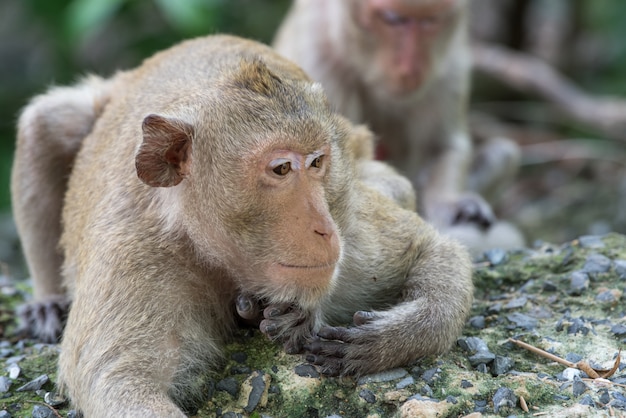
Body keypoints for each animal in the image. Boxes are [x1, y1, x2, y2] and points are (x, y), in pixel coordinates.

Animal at [12, 33, 470, 414]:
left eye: (317, 162)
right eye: (281, 169)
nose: (324, 230)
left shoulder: (352, 230)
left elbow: (435, 249)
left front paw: (381, 339)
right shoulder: (136, 260)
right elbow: (119, 380)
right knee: (45, 123)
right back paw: (48, 302)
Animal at [272, 0, 520, 255]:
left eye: (430, 21)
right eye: (393, 19)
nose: (411, 69)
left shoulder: (450, 59)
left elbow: (443, 146)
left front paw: (453, 205)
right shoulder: (317, 57)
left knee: (504, 153)